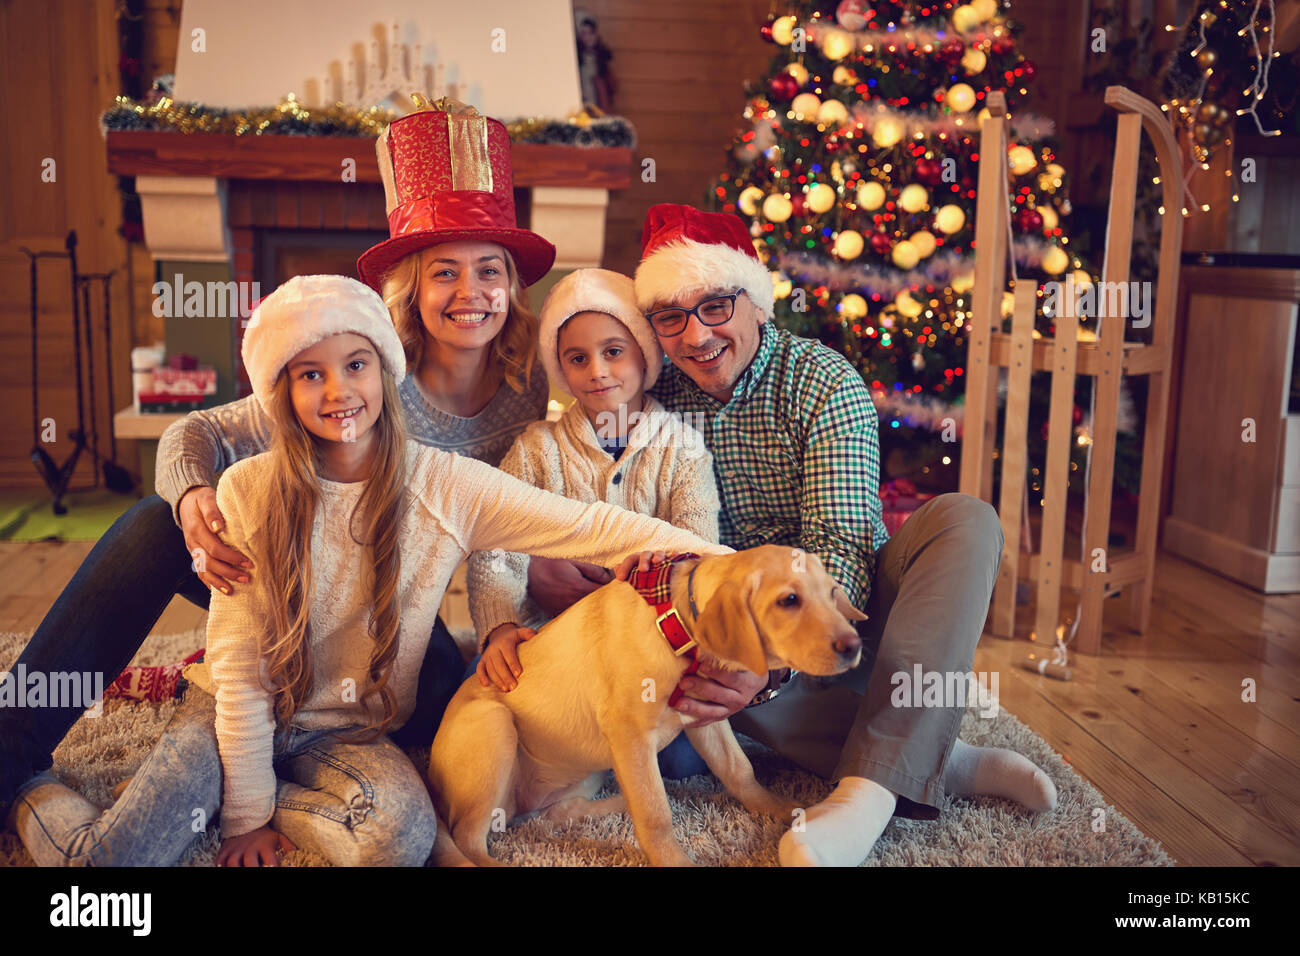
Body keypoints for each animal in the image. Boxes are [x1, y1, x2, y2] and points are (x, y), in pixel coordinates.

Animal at [431, 546, 868, 868]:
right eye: (788, 600)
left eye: (833, 595)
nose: (854, 646)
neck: (674, 624)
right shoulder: (630, 736)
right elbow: (655, 815)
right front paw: (675, 859)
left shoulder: (704, 717)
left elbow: (739, 769)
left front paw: (778, 808)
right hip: (496, 727)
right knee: (468, 836)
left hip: (585, 771)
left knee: (556, 811)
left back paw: (619, 801)